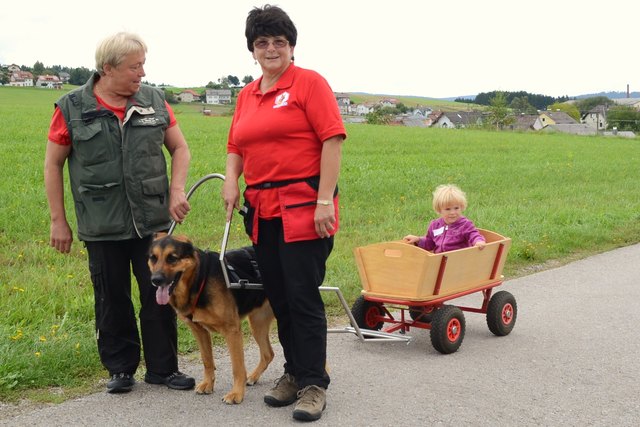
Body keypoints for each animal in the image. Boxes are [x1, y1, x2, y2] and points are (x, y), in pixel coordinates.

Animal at [149, 234, 276, 404]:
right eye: (153, 258)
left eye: (172, 258)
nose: (155, 280)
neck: (199, 279)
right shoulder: (199, 331)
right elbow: (207, 361)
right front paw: (208, 384)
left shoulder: (232, 331)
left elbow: (237, 367)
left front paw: (237, 393)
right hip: (257, 324)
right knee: (268, 354)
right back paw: (253, 377)